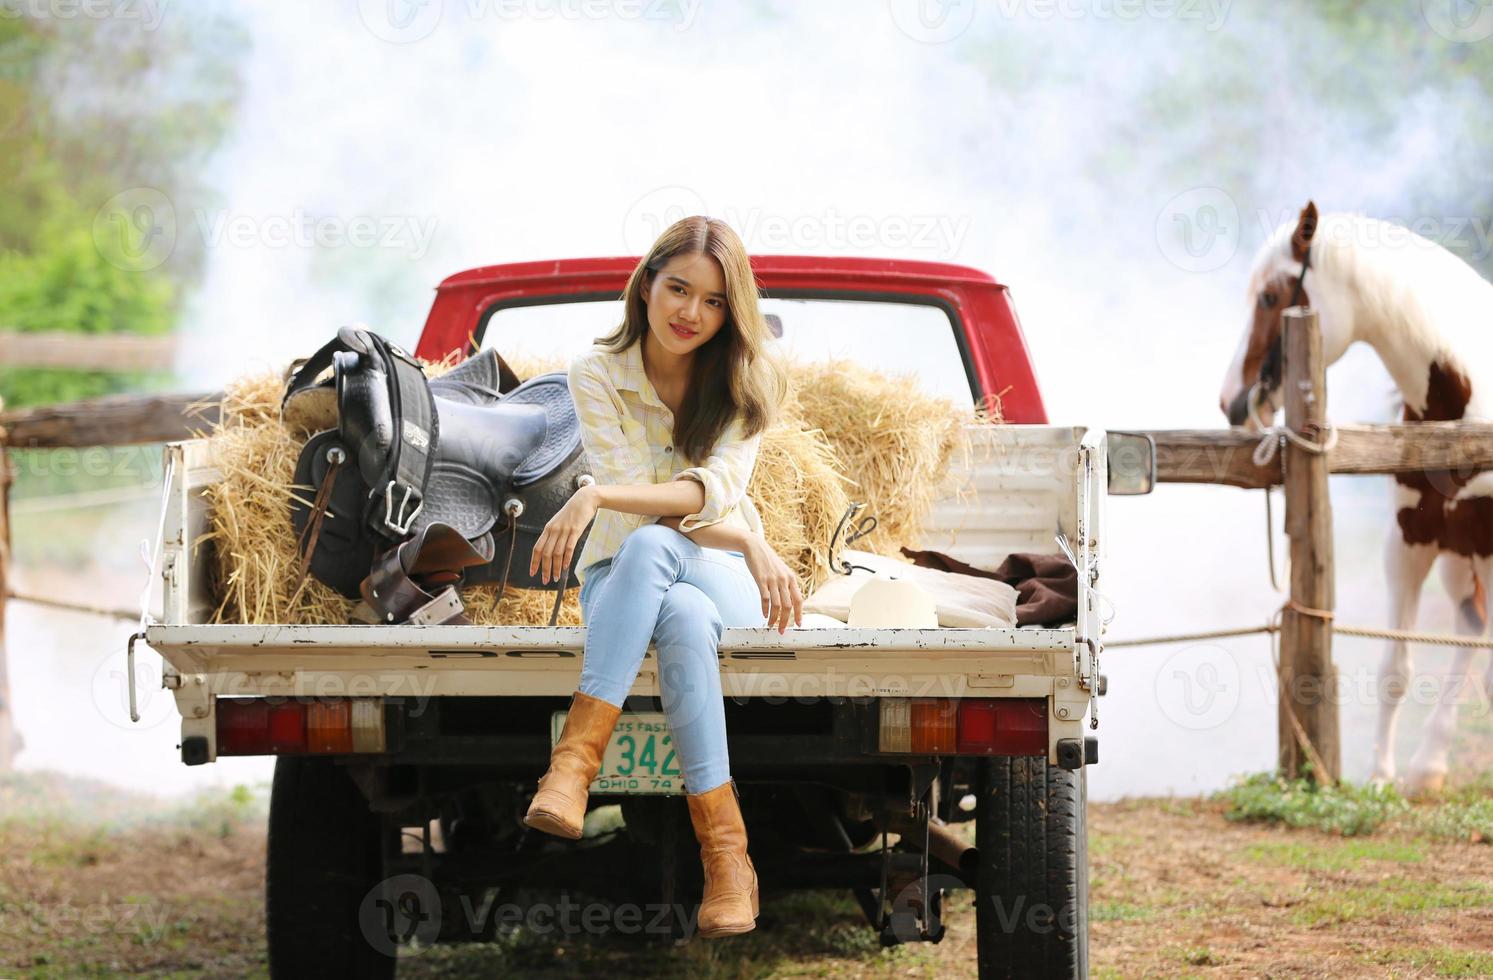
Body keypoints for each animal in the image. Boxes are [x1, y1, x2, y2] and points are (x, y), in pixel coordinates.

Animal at [1224, 203, 1493, 794]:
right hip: (1459, 560)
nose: (1231, 400)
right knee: (1470, 630)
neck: (1467, 409)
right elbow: (1396, 668)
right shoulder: (1411, 540)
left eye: (1270, 297)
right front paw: (1382, 775)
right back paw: (1429, 764)